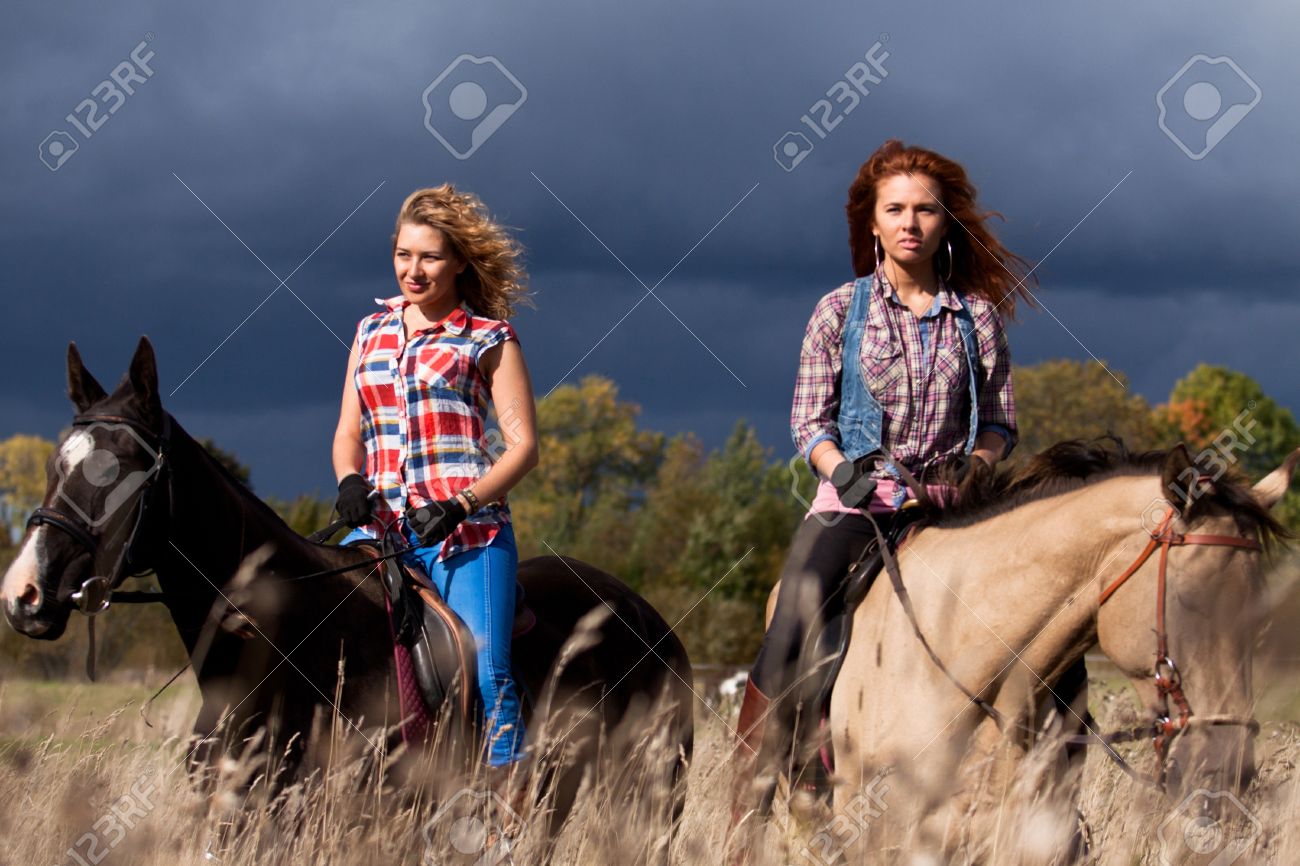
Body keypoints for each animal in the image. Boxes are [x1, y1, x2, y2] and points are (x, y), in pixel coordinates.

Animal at [0, 338, 696, 858]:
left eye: (124, 469)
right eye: (56, 464)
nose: (25, 594)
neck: (280, 643)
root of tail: (647, 618)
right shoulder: (238, 819)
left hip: (653, 795)